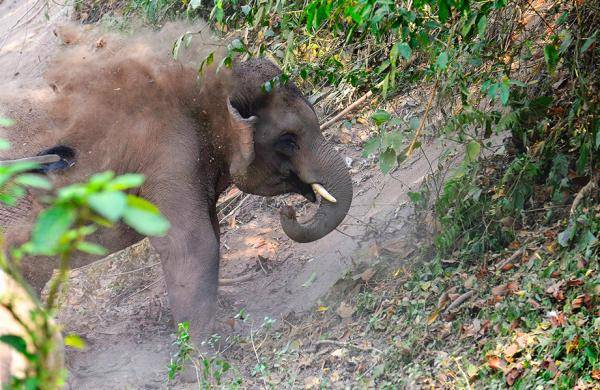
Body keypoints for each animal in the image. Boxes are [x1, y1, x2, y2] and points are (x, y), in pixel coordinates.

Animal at [0, 49, 354, 348]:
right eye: (288, 140)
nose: (288, 212)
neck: (204, 85)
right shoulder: (169, 155)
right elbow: (192, 242)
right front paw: (200, 355)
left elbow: (210, 231)